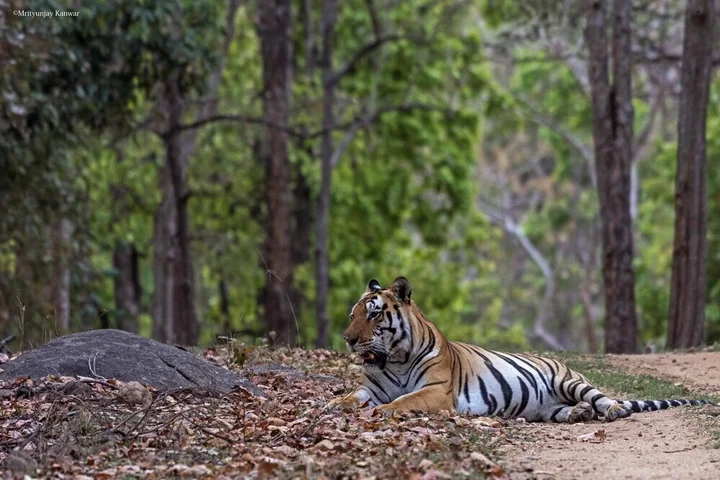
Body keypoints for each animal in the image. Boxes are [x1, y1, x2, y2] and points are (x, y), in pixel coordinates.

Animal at [326, 276, 712, 422]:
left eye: (374, 314)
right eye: (353, 314)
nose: (347, 338)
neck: (395, 360)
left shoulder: (436, 391)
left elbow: (403, 401)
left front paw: (384, 411)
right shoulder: (372, 388)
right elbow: (352, 396)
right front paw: (331, 406)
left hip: (570, 381)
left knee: (602, 398)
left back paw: (612, 410)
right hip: (544, 408)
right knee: (565, 411)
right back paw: (578, 414)